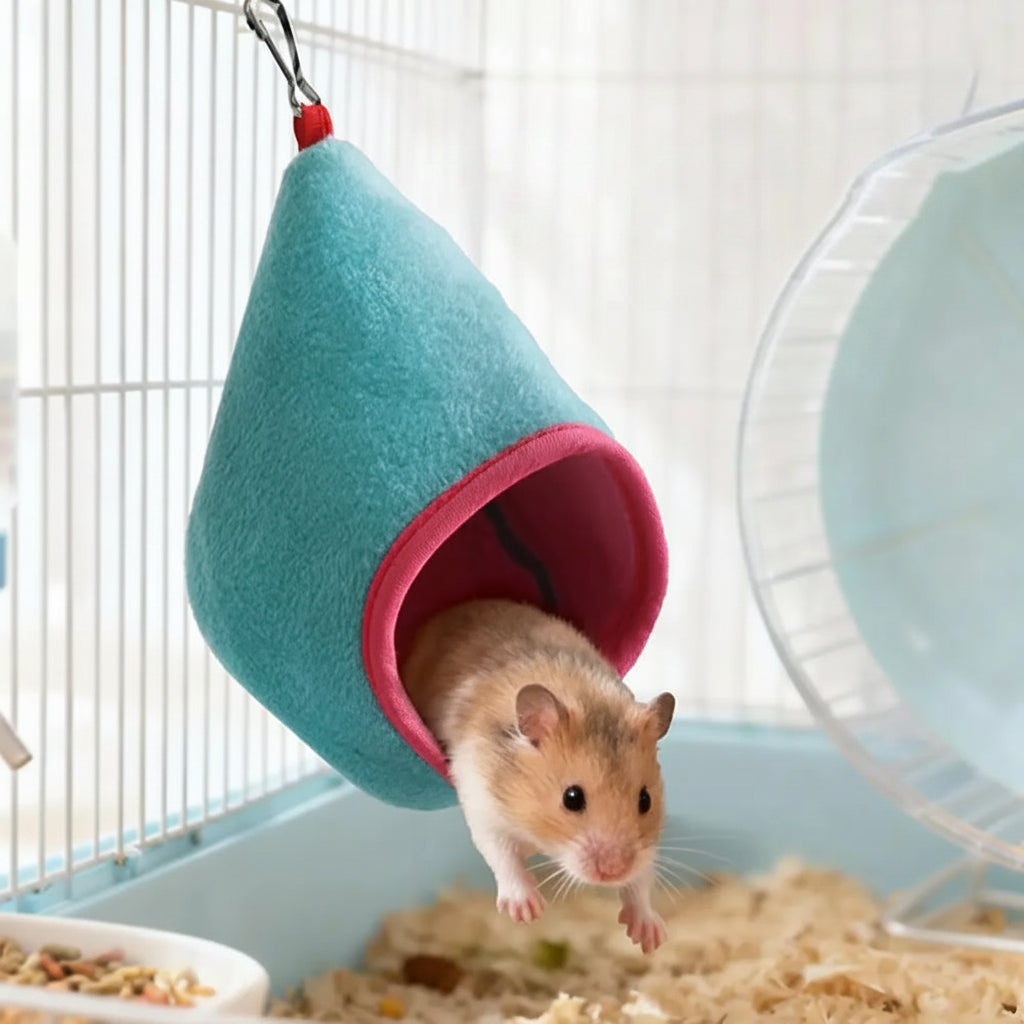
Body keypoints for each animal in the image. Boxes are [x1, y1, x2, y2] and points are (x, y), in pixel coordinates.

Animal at [401, 598, 676, 954]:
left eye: (645, 800)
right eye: (572, 798)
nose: (613, 872)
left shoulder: (644, 848)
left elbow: (641, 879)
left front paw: (649, 937)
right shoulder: (482, 803)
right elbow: (501, 853)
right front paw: (527, 912)